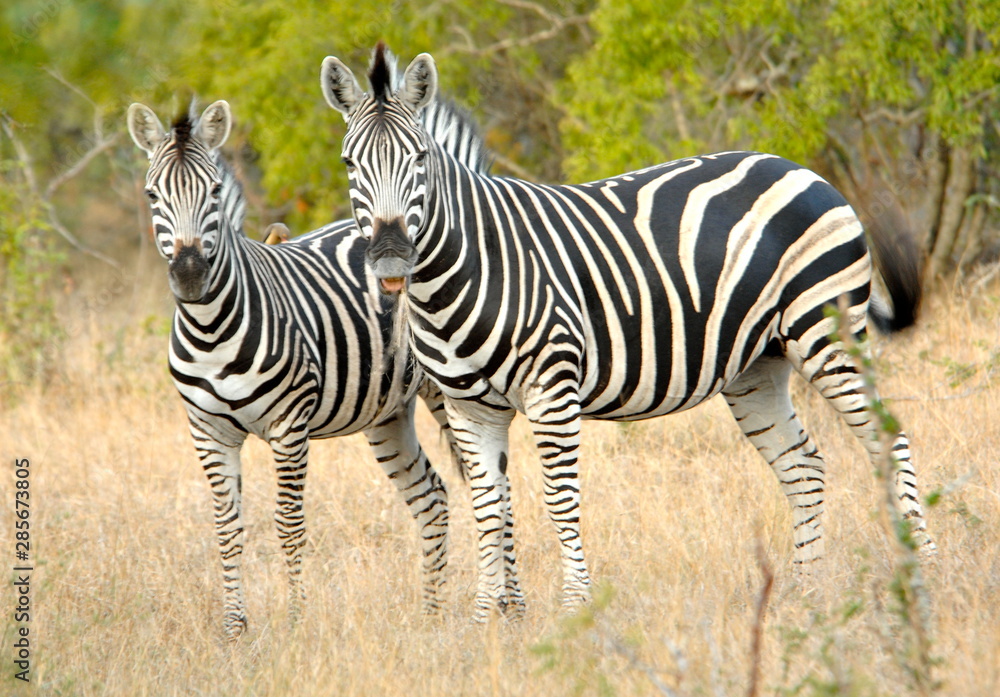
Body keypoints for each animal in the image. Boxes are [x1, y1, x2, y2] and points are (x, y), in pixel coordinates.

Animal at [126, 94, 484, 640]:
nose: (189, 278)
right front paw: (234, 629)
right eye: (152, 195)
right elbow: (227, 528)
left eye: (213, 191)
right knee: (433, 497)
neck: (211, 330)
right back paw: (431, 614)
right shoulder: (207, 432)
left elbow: (289, 525)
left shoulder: (289, 426)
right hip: (387, 415)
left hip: (449, 393)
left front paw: (296, 621)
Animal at [319, 44, 935, 621]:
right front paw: (485, 621)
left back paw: (925, 571)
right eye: (349, 164)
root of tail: (800, 169)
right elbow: (489, 509)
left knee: (889, 439)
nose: (391, 259)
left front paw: (576, 609)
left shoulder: (552, 389)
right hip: (758, 365)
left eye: (419, 158)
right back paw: (808, 595)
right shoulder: (470, 407)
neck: (469, 267)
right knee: (803, 467)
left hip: (826, 332)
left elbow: (558, 497)